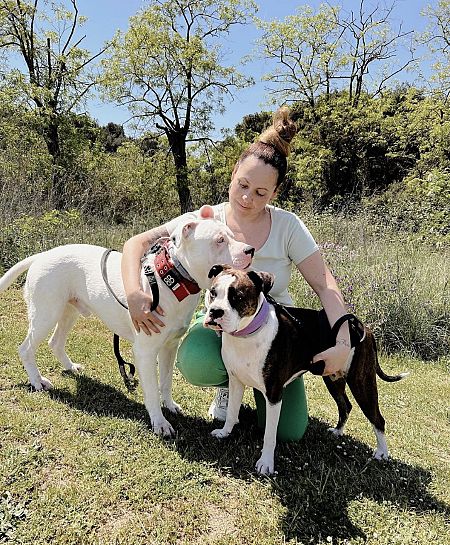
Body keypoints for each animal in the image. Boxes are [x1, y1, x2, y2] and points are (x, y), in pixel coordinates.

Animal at [0, 206, 253, 436]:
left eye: (232, 234)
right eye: (220, 240)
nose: (249, 249)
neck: (173, 278)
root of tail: (42, 255)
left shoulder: (170, 347)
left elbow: (166, 381)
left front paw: (170, 406)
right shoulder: (145, 352)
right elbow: (151, 389)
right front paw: (160, 423)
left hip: (68, 311)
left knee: (55, 342)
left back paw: (70, 367)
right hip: (46, 314)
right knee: (26, 349)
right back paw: (38, 381)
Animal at [204, 266, 408, 474]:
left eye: (237, 297)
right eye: (213, 292)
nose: (215, 311)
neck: (248, 335)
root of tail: (362, 327)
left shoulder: (274, 395)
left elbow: (269, 434)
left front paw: (266, 462)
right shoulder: (236, 382)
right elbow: (231, 412)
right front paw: (224, 432)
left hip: (361, 383)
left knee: (377, 418)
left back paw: (382, 453)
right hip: (332, 377)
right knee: (345, 405)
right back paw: (337, 431)